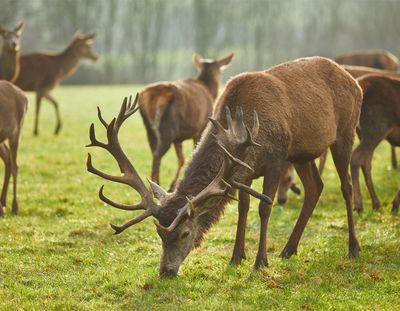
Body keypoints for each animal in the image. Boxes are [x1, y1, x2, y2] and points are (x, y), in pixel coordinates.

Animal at [139, 52, 234, 191]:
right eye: (220, 70)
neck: (210, 92)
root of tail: (157, 95)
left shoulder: (179, 138)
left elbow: (181, 159)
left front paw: (173, 185)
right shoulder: (200, 129)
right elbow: (192, 154)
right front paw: (173, 185)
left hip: (149, 128)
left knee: (154, 152)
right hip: (169, 126)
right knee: (157, 155)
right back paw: (155, 185)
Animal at [350, 74, 400, 213]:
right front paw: (395, 204)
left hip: (363, 133)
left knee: (366, 162)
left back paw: (376, 203)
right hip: (376, 128)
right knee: (356, 157)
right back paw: (359, 205)